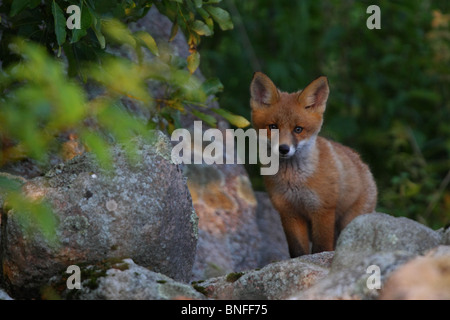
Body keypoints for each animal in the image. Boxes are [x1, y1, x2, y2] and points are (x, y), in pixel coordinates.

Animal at [250, 72, 376, 258]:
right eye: (273, 127)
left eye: (298, 129)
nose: (284, 149)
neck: (293, 181)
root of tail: (362, 163)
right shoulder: (289, 212)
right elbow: (298, 251)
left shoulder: (322, 209)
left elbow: (321, 247)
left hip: (349, 222)